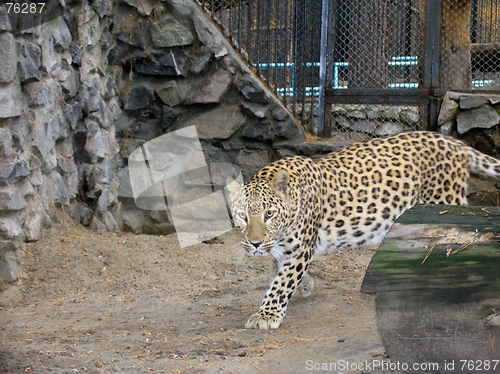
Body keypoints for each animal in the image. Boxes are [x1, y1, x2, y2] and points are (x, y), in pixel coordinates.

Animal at [227, 130, 500, 328]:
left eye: (269, 214)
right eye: (242, 216)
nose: (255, 244)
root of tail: (455, 143)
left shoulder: (300, 249)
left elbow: (282, 282)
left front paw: (266, 315)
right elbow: (281, 268)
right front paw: (305, 285)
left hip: (445, 201)